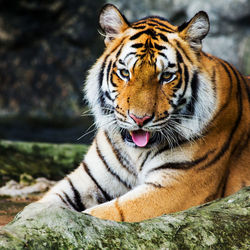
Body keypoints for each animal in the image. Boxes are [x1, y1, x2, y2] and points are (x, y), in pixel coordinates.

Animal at [39, 3, 250, 222]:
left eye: (166, 76)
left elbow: (109, 212)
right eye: (125, 73)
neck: (135, 153)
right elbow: (43, 205)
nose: (139, 119)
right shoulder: (87, 179)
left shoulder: (176, 187)